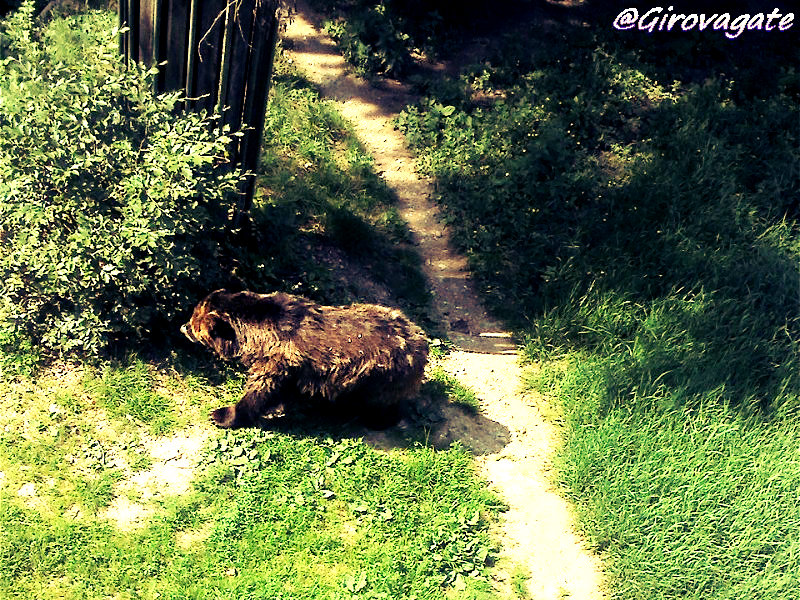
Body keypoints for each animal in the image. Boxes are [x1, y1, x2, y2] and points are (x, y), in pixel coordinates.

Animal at [182, 290, 432, 426]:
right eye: (192, 314)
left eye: (194, 323)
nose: (182, 327)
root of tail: (421, 340)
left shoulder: (278, 360)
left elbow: (261, 391)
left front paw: (223, 414)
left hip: (381, 374)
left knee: (380, 403)